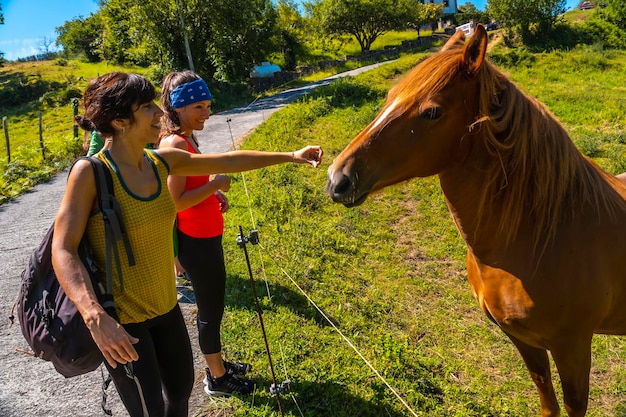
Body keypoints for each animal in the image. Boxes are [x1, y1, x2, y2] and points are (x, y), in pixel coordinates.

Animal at [324, 24, 624, 414]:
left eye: (432, 112)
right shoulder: (523, 341)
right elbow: (547, 399)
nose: (337, 179)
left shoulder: (572, 347)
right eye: (389, 96)